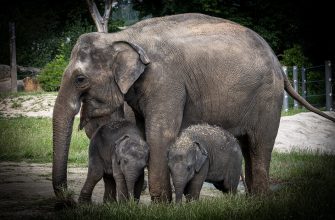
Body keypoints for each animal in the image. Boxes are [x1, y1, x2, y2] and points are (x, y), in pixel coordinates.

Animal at [53, 12, 335, 201]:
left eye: (80, 79)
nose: (66, 200)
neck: (121, 36)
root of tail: (279, 65)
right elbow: (144, 133)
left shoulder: (166, 80)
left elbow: (160, 132)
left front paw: (161, 204)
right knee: (248, 145)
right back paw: (251, 201)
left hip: (267, 97)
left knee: (259, 145)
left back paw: (261, 201)